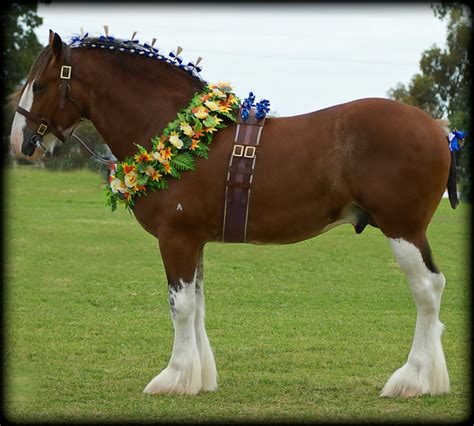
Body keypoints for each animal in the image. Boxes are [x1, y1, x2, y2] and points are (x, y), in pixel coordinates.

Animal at [10, 32, 456, 396]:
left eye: (41, 84)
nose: (20, 142)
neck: (175, 130)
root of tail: (439, 128)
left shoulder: (176, 238)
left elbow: (181, 306)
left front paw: (173, 377)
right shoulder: (194, 241)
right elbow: (197, 303)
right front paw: (198, 378)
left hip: (403, 229)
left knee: (427, 289)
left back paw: (413, 379)